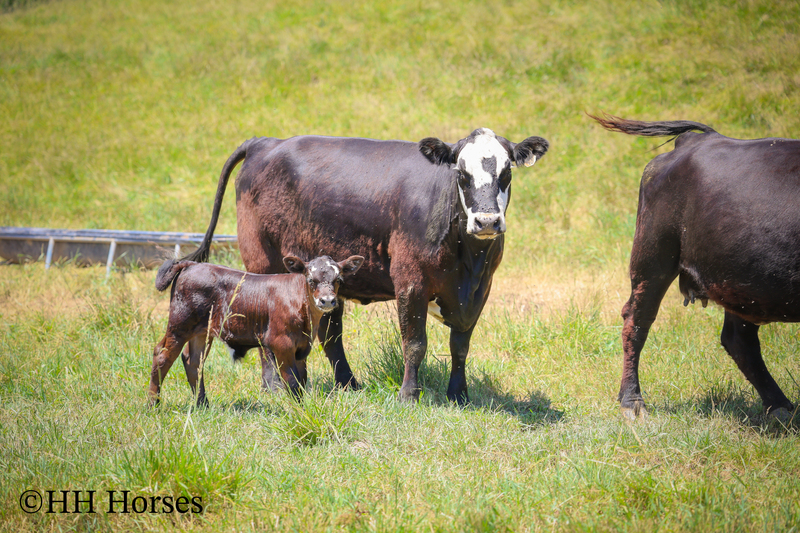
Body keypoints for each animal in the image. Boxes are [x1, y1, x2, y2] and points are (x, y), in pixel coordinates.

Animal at [148, 254, 364, 405]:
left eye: (338, 280)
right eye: (311, 280)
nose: (327, 301)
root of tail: (192, 264)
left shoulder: (302, 348)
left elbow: (301, 380)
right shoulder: (281, 344)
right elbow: (292, 383)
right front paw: (299, 411)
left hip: (202, 331)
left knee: (193, 361)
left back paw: (202, 404)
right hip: (179, 325)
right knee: (162, 355)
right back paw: (153, 405)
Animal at [180, 128, 549, 403]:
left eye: (506, 172)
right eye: (461, 172)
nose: (486, 221)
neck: (467, 260)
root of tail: (266, 142)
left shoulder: (479, 289)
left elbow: (460, 345)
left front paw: (459, 395)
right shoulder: (410, 282)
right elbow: (415, 343)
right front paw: (409, 396)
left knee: (330, 335)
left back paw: (342, 384)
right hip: (262, 261)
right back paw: (274, 386)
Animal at [590, 112, 800, 420]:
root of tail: (696, 140)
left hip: (741, 280)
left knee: (739, 340)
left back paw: (780, 407)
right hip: (653, 258)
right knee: (636, 321)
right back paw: (632, 401)